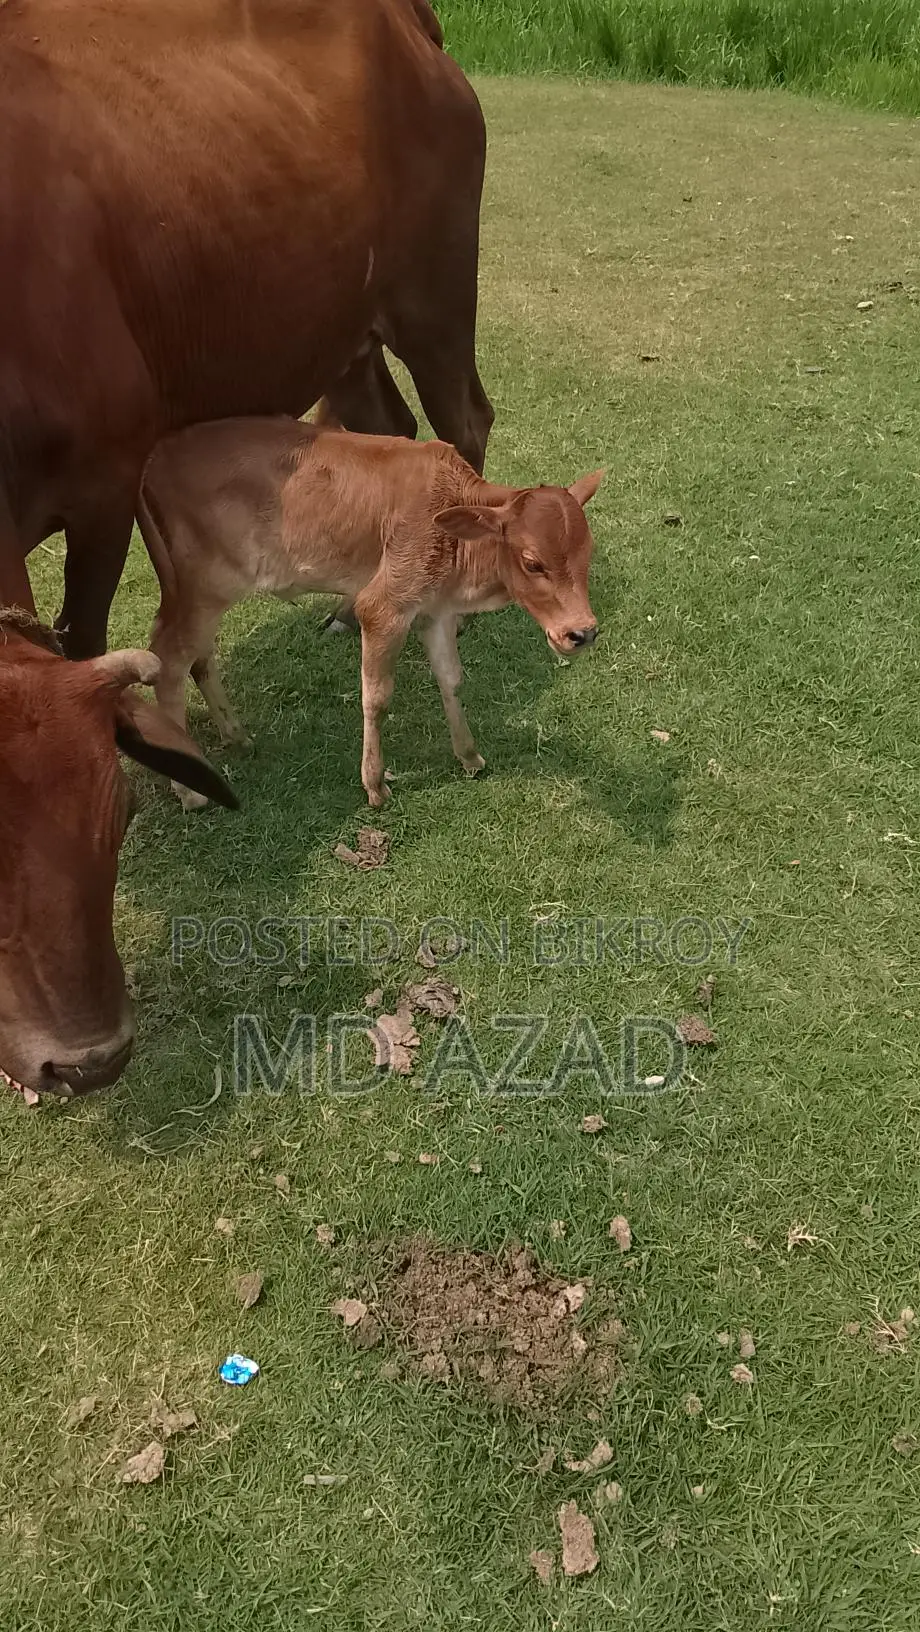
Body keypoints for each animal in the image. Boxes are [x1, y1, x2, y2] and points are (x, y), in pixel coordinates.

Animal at [0, 0, 494, 658]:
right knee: (390, 426)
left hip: (436, 296)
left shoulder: (107, 484)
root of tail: (405, 21)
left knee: (465, 422)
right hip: (341, 327)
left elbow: (83, 640)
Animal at [136, 417, 603, 809]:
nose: (582, 633)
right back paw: (189, 790)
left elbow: (451, 679)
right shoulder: (384, 607)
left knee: (199, 656)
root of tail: (154, 459)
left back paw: (236, 735)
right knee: (170, 659)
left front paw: (469, 755)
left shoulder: (434, 611)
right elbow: (376, 697)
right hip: (204, 588)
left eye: (588, 554)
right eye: (532, 563)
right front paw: (375, 784)